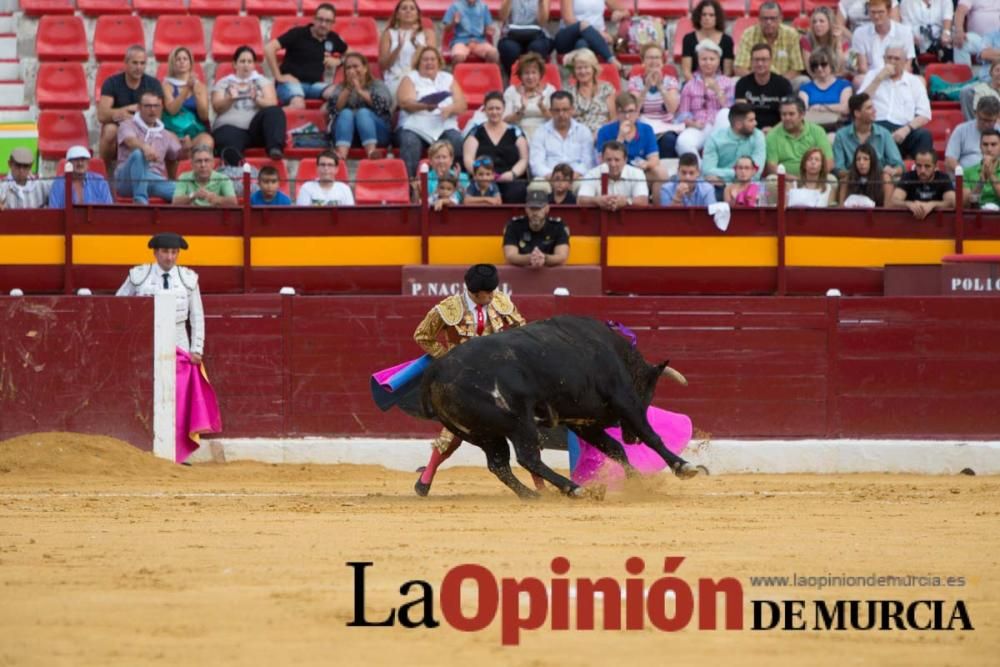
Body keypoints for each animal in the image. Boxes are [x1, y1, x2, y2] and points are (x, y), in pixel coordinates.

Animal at [410, 316, 700, 498]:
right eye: (648, 392)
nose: (631, 438)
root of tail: (437, 370)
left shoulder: (582, 422)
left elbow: (614, 449)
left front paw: (638, 481)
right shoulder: (623, 399)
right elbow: (651, 435)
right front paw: (684, 467)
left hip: (484, 434)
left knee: (499, 465)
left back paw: (532, 495)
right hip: (519, 423)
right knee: (527, 458)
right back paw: (574, 489)